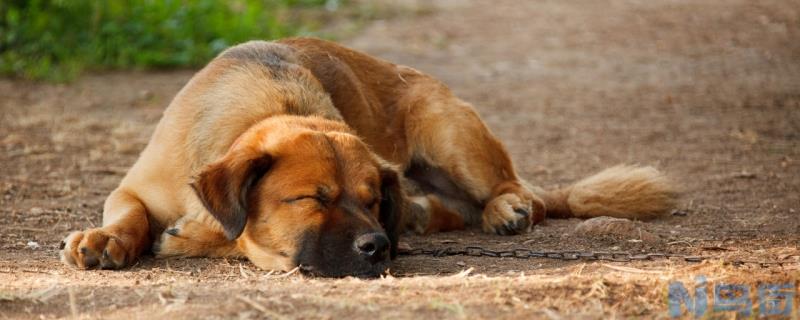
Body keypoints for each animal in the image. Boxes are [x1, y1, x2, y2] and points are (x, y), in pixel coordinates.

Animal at [59, 37, 680, 278]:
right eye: (313, 199)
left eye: (371, 200)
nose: (379, 246)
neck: (265, 109)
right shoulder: (132, 187)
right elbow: (130, 214)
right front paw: (107, 239)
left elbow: (224, 232)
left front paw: (193, 235)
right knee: (453, 209)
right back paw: (430, 214)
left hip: (448, 131)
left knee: (524, 192)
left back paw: (507, 209)